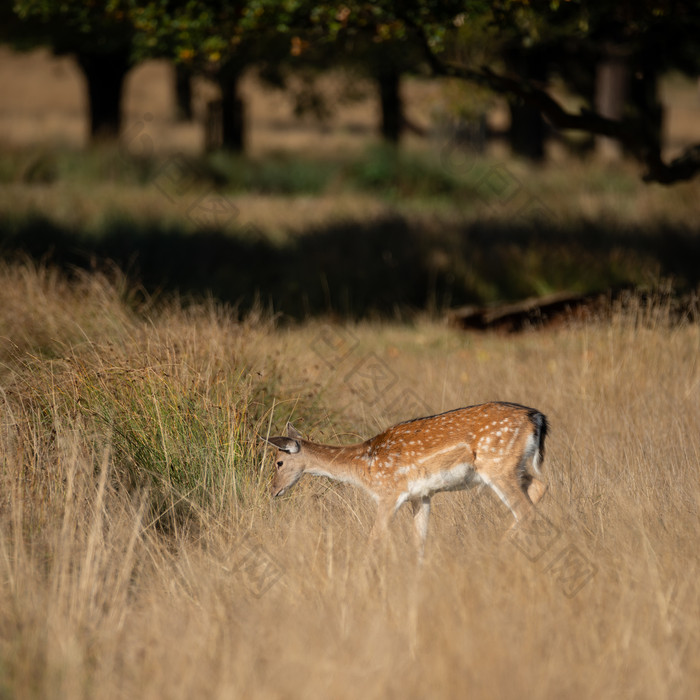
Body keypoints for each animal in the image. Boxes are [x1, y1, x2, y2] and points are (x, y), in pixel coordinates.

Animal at [266, 402, 548, 556]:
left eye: (278, 462)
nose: (273, 491)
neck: (363, 467)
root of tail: (537, 418)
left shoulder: (389, 493)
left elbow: (374, 537)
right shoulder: (421, 495)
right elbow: (418, 541)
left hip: (497, 466)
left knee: (526, 510)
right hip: (513, 466)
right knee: (540, 486)